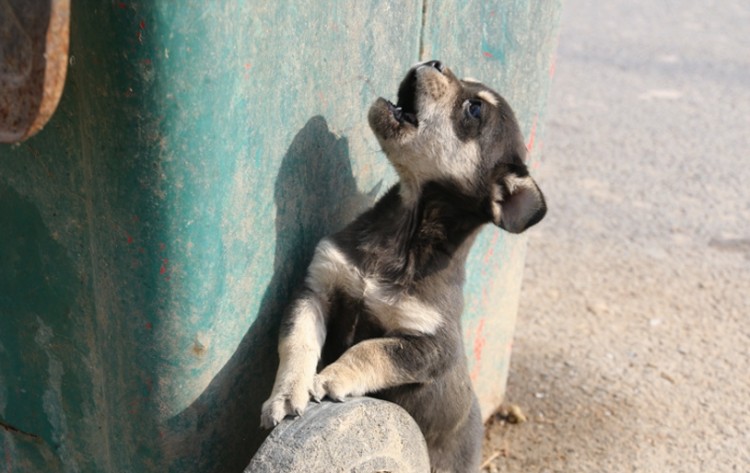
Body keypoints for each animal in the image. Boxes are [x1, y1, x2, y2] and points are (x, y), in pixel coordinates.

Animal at [262, 60, 548, 470]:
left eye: (475, 108)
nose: (433, 61)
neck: (402, 230)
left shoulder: (430, 346)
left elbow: (371, 349)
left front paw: (333, 377)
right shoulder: (315, 291)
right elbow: (296, 341)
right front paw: (286, 394)